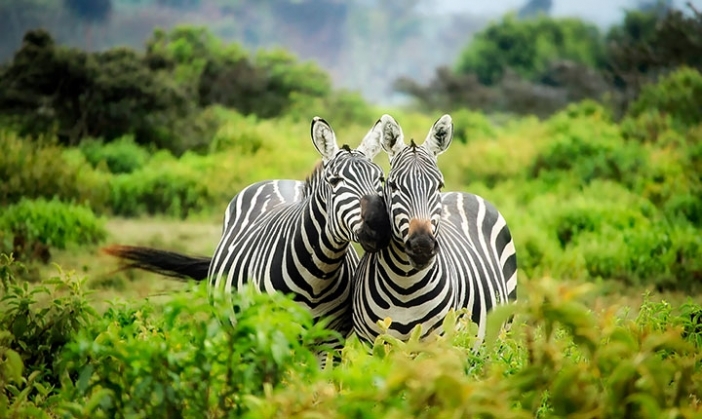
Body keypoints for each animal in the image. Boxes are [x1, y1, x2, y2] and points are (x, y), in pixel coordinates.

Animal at [104, 115, 390, 352]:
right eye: (334, 182)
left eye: (381, 179)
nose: (379, 226)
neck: (318, 274)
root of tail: (279, 180)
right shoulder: (271, 334)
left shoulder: (331, 341)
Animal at [354, 113, 520, 346]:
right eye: (393, 185)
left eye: (439, 186)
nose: (422, 246)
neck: (404, 286)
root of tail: (464, 193)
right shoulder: (370, 344)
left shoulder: (438, 343)